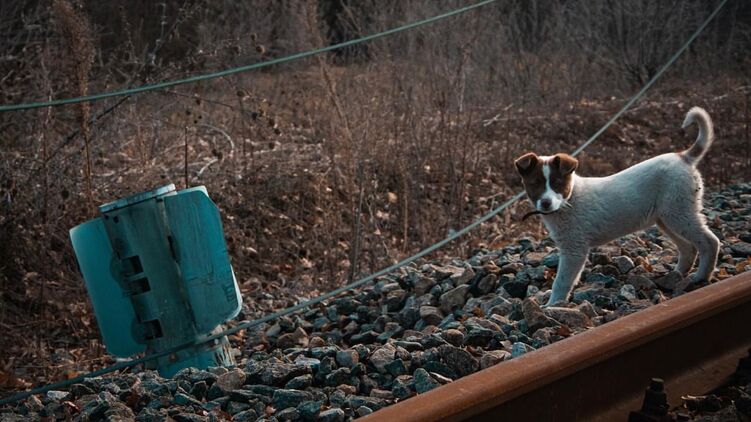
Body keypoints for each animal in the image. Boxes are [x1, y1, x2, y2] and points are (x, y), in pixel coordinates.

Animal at [516, 107, 720, 304]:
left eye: (557, 183)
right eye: (534, 184)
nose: (546, 203)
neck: (570, 199)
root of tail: (683, 157)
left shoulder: (574, 249)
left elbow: (562, 281)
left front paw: (552, 304)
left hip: (679, 212)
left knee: (709, 242)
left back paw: (701, 276)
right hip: (667, 218)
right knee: (688, 248)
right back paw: (677, 275)